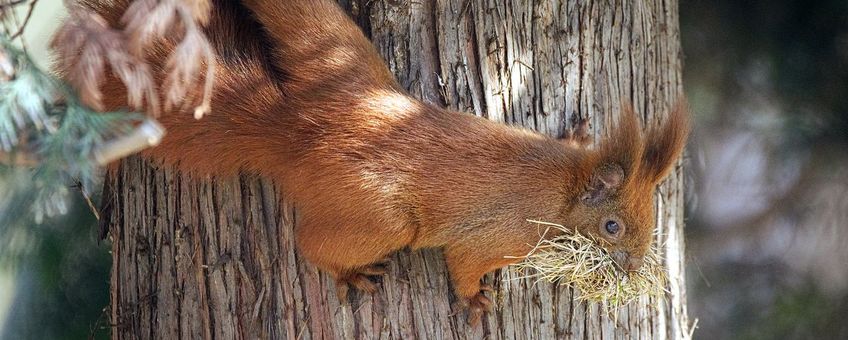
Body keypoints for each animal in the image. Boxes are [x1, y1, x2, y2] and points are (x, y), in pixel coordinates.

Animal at [79, 0, 688, 322]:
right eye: (612, 227)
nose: (632, 269)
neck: (564, 185)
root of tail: (301, 129)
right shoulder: (507, 233)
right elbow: (465, 262)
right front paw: (474, 301)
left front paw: (580, 129)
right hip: (383, 218)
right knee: (313, 243)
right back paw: (348, 272)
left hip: (340, 48)